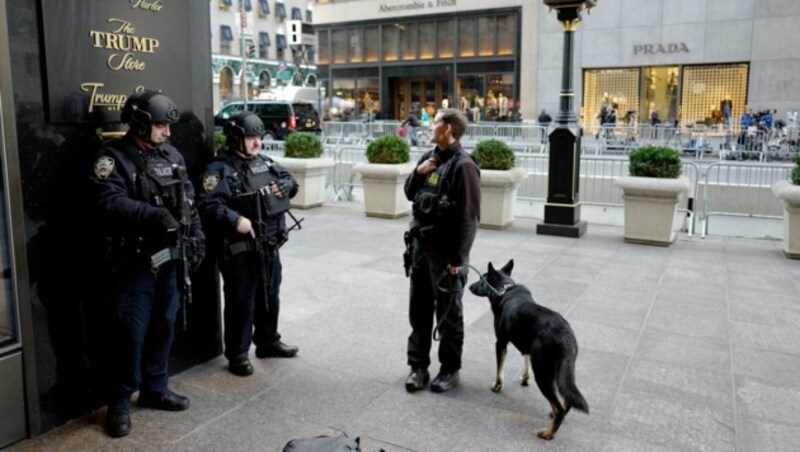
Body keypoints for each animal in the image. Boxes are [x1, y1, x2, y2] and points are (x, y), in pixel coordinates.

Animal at [468, 260, 588, 440]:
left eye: (481, 280)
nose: (469, 286)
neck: (505, 288)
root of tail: (565, 336)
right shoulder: (527, 347)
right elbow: (525, 362)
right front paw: (524, 378)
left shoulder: (500, 343)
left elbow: (499, 370)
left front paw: (497, 386)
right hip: (563, 370)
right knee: (567, 398)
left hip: (543, 374)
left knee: (559, 407)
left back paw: (549, 432)